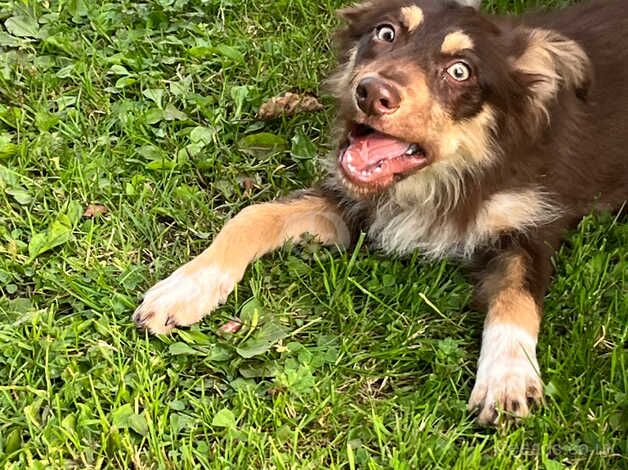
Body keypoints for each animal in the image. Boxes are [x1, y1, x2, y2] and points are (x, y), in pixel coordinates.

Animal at [132, 0, 628, 424]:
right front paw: (184, 289)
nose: (371, 93)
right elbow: (253, 215)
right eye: (385, 32)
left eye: (460, 71)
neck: (446, 175)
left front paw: (506, 379)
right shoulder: (350, 203)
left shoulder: (532, 225)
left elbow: (516, 298)